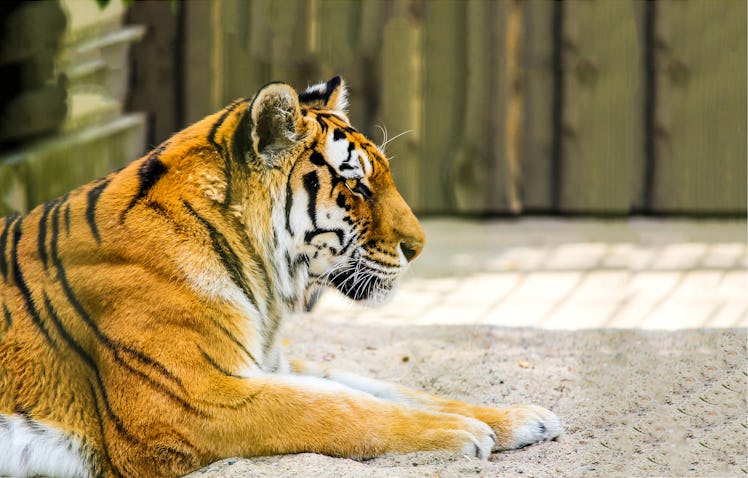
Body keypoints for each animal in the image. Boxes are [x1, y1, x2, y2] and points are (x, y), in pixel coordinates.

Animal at [0, 77, 562, 478]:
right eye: (357, 187)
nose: (418, 248)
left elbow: (386, 390)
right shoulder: (191, 403)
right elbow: (341, 412)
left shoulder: (272, 365)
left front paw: (520, 416)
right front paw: (463, 432)